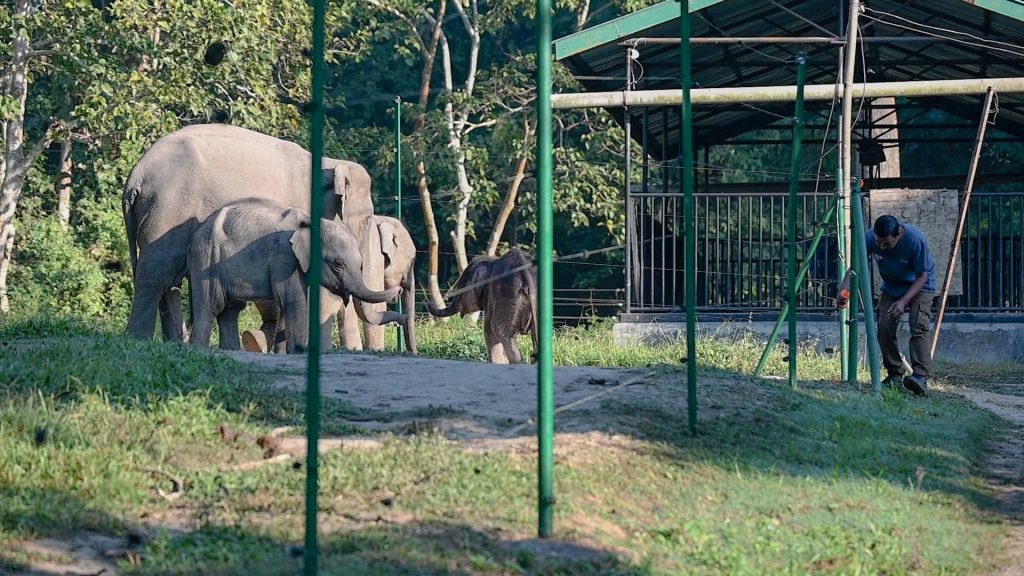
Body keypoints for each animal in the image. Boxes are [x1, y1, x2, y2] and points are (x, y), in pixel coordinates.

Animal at [122, 123, 375, 343]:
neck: (329, 163)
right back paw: (138, 340)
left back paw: (174, 343)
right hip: (169, 211)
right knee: (154, 276)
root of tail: (135, 176)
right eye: (367, 219)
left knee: (168, 282)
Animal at [187, 198, 401, 354]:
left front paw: (284, 353)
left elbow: (285, 303)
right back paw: (198, 349)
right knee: (210, 306)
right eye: (337, 264)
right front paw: (298, 351)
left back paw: (232, 350)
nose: (398, 290)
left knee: (230, 310)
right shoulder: (284, 257)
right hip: (206, 257)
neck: (311, 221)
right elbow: (293, 300)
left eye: (362, 265)